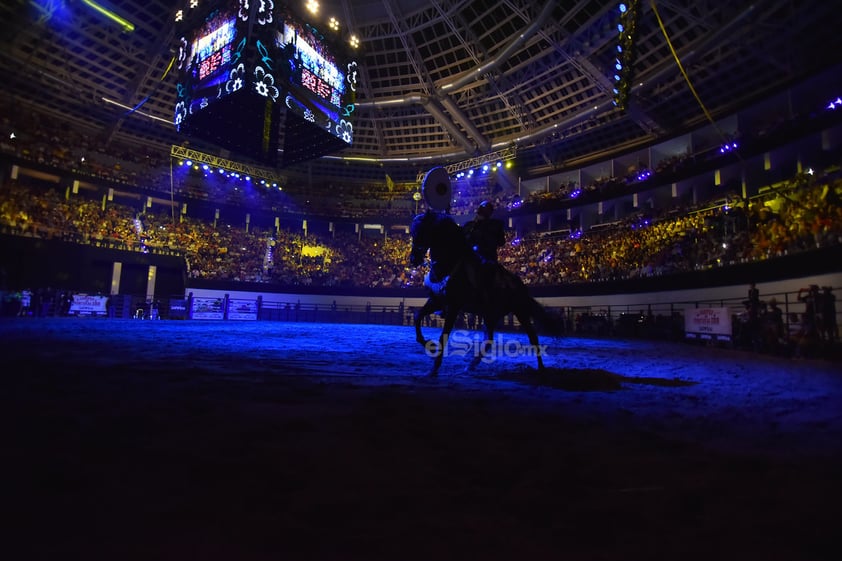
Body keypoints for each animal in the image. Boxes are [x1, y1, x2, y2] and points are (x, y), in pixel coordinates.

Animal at [410, 210, 560, 376]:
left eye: (421, 231)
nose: (413, 259)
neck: (449, 264)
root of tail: (519, 284)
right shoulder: (436, 301)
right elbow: (417, 317)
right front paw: (428, 345)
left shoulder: (454, 306)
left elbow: (444, 335)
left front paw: (434, 369)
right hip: (490, 315)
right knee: (489, 339)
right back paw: (472, 364)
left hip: (520, 311)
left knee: (533, 337)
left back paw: (541, 368)